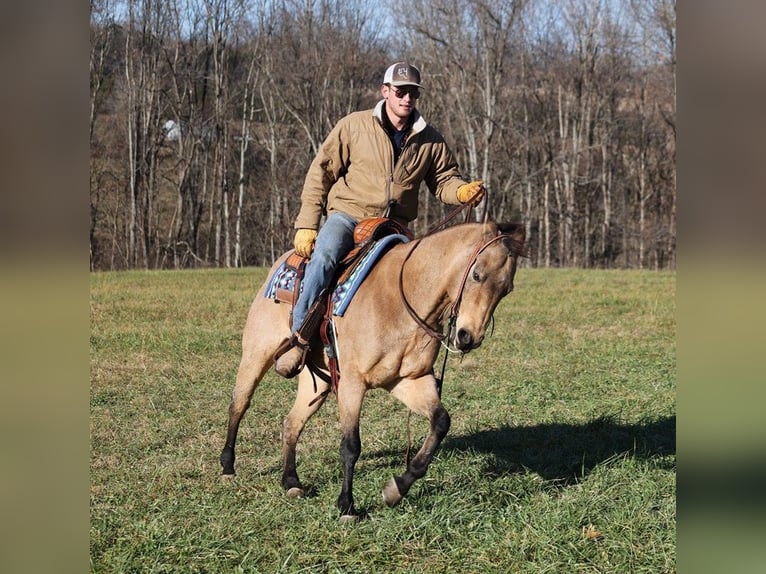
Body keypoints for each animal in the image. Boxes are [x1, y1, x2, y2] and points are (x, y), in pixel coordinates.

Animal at [219, 219, 524, 520]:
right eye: (476, 275)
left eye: (507, 289)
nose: (467, 337)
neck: (400, 299)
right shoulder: (352, 383)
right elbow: (350, 446)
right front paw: (347, 506)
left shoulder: (409, 380)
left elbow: (440, 422)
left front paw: (396, 489)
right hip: (256, 354)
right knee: (239, 403)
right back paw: (227, 467)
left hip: (317, 381)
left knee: (292, 422)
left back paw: (291, 481)